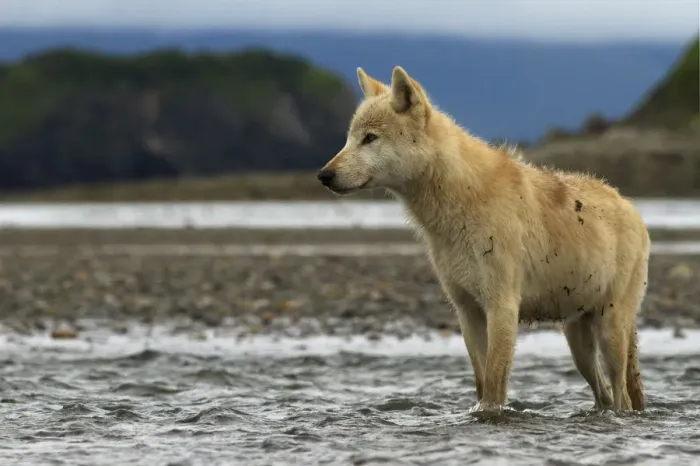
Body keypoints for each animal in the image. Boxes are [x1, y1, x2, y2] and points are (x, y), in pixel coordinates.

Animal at [316, 66, 650, 413]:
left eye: (370, 138)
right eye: (349, 138)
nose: (323, 175)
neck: (460, 202)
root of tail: (631, 207)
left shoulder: (502, 307)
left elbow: (493, 386)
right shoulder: (467, 312)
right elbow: (480, 382)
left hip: (609, 331)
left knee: (622, 396)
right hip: (578, 343)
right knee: (606, 395)